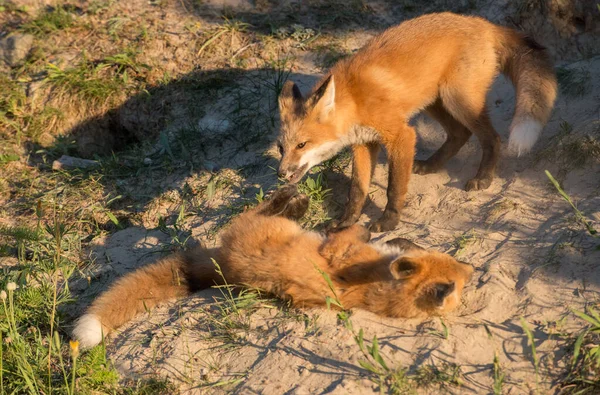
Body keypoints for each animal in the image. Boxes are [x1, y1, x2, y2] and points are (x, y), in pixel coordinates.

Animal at [71, 186, 474, 350]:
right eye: (456, 266)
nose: (471, 267)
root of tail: (224, 267)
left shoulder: (341, 252)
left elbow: (353, 235)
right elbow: (373, 235)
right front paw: (395, 238)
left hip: (264, 229)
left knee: (256, 212)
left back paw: (291, 199)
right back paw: (293, 198)